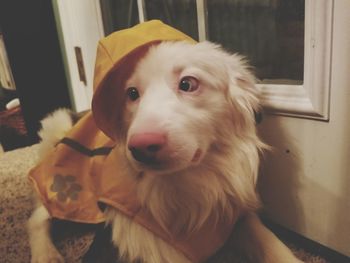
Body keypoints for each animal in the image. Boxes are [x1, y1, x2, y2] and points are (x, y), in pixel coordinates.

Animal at [27, 38, 302, 262]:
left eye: (188, 84)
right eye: (132, 93)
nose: (141, 147)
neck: (186, 185)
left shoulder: (234, 212)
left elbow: (271, 242)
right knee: (38, 216)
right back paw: (46, 255)